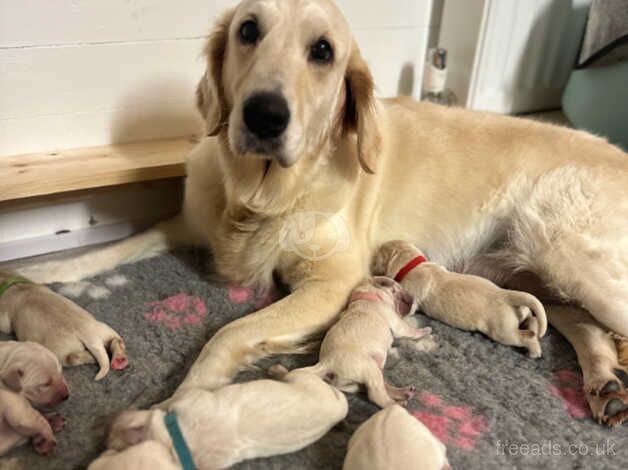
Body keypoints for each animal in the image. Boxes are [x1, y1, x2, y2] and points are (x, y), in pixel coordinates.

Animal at [103, 368, 348, 470]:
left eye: (112, 449)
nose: (110, 420)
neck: (175, 444)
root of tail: (337, 410)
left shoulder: (189, 398)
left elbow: (168, 403)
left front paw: (156, 404)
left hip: (303, 380)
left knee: (297, 373)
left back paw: (277, 369)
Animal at [294, 276, 432, 408]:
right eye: (396, 292)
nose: (411, 299)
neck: (367, 296)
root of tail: (326, 363)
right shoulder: (398, 324)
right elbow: (411, 330)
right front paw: (425, 330)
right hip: (369, 367)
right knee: (376, 396)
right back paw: (398, 404)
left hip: (357, 381)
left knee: (374, 387)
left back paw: (404, 392)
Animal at [372, 241, 544, 358]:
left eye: (377, 256)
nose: (371, 266)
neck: (414, 265)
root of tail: (507, 295)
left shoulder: (412, 295)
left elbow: (406, 308)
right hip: (522, 313)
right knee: (533, 322)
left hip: (502, 331)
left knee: (526, 336)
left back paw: (534, 352)